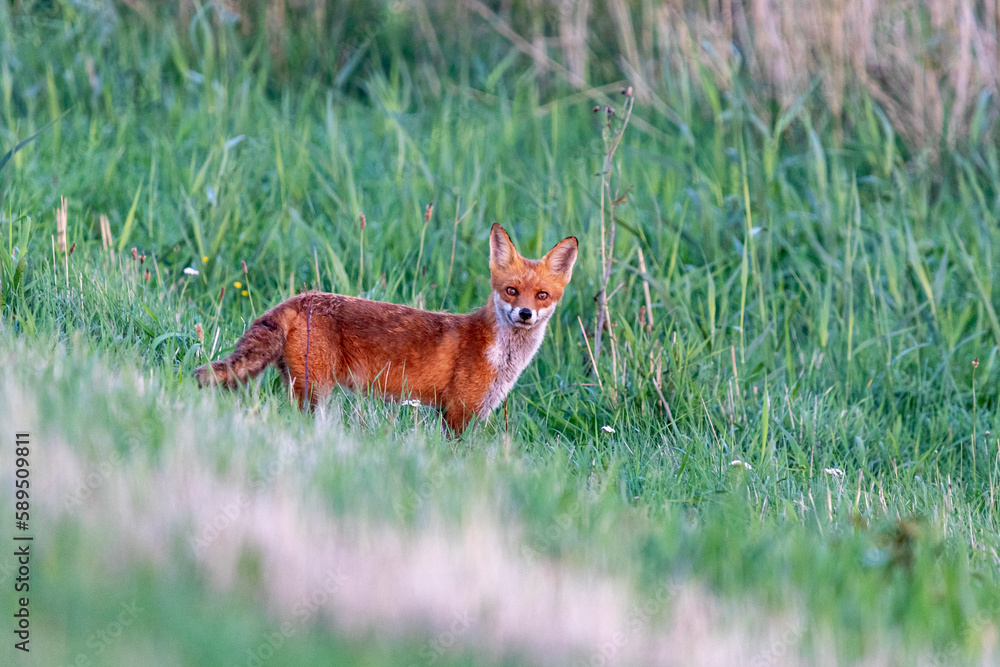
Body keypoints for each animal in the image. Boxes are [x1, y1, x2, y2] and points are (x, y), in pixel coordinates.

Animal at [195, 224, 578, 433]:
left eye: (542, 295)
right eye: (511, 290)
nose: (525, 314)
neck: (501, 357)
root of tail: (298, 298)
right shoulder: (458, 412)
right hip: (315, 391)